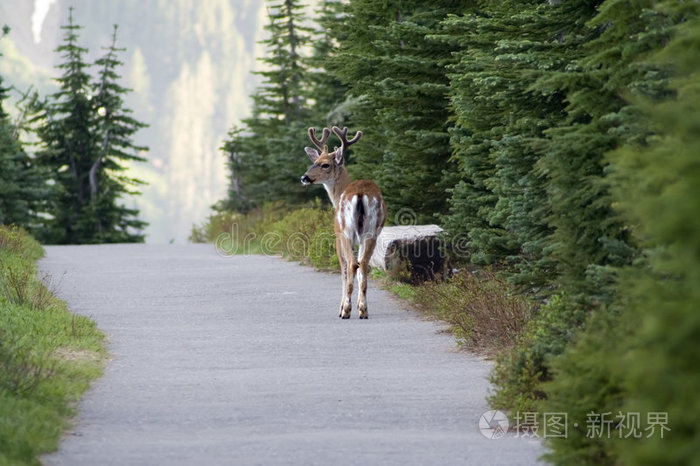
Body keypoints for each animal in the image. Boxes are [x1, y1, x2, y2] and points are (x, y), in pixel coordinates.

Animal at [298, 125, 386, 318]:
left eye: (325, 164)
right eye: (315, 161)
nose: (304, 177)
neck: (337, 196)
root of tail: (360, 194)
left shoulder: (337, 235)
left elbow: (344, 271)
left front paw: (342, 307)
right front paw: (360, 306)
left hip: (346, 231)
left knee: (352, 264)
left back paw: (346, 310)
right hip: (371, 232)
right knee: (363, 265)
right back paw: (363, 311)